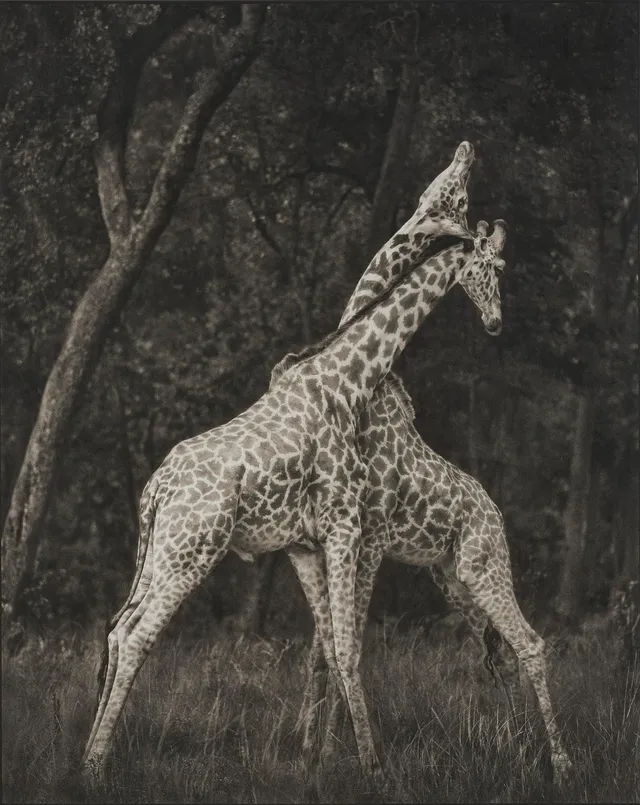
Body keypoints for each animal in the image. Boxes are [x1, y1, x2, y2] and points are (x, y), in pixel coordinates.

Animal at [277, 219, 572, 785]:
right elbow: (325, 648)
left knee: (529, 643)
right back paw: (518, 749)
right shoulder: (349, 539)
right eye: (496, 266)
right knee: (500, 655)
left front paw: (333, 753)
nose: (495, 322)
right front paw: (314, 753)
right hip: (455, 579)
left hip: (484, 568)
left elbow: (346, 644)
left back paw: (561, 765)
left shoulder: (367, 539)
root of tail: (496, 515)